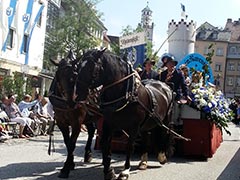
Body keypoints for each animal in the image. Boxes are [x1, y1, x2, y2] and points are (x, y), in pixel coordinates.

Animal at [75, 48, 174, 180]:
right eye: (79, 66)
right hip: (147, 123)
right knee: (146, 137)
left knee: (164, 133)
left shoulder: (133, 127)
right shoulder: (108, 124)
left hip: (165, 119)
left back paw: (162, 156)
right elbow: (105, 145)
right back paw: (143, 161)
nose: (77, 94)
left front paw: (125, 171)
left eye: (92, 67)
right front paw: (109, 171)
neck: (125, 93)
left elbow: (130, 146)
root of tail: (165, 85)